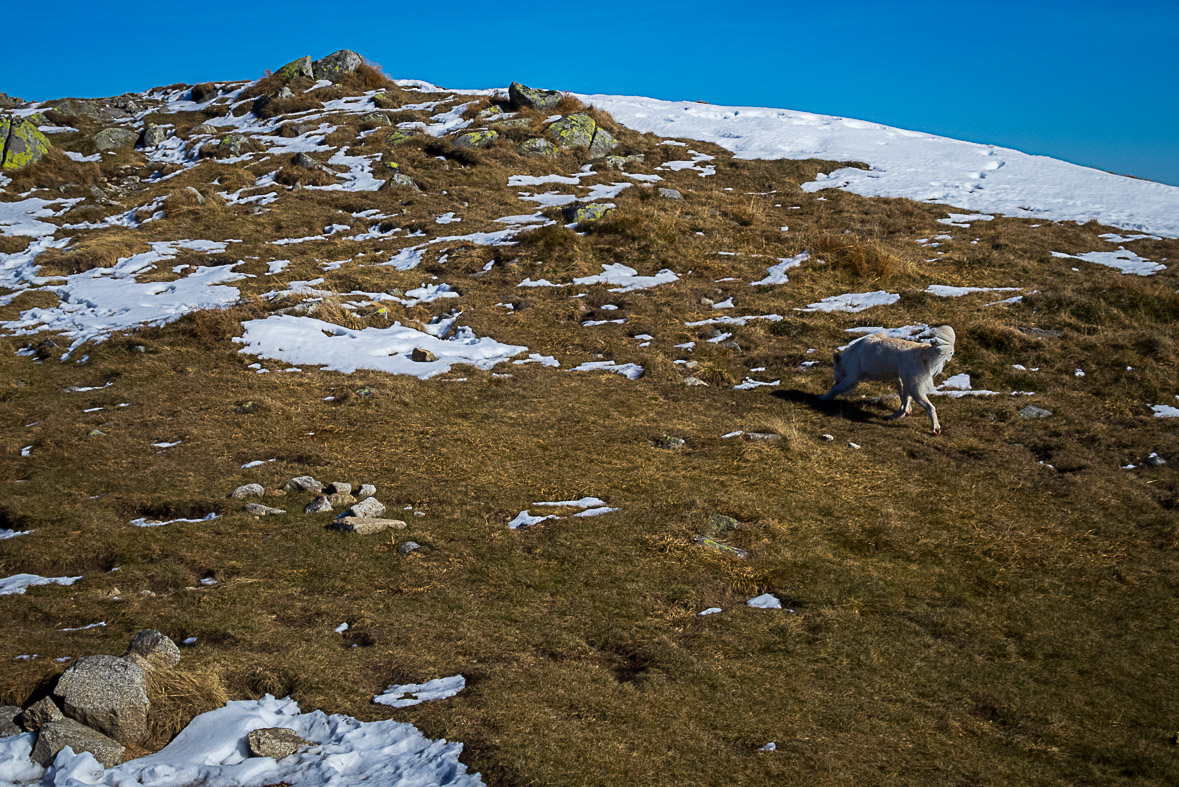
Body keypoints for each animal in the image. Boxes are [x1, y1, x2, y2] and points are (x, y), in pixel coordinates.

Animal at [820, 325, 957, 435]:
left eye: (834, 370)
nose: (836, 380)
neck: (848, 357)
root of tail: (920, 350)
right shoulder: (898, 380)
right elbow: (903, 401)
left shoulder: (851, 379)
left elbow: (835, 389)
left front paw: (824, 397)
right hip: (908, 384)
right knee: (904, 406)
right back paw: (892, 416)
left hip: (915, 389)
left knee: (930, 408)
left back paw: (936, 429)